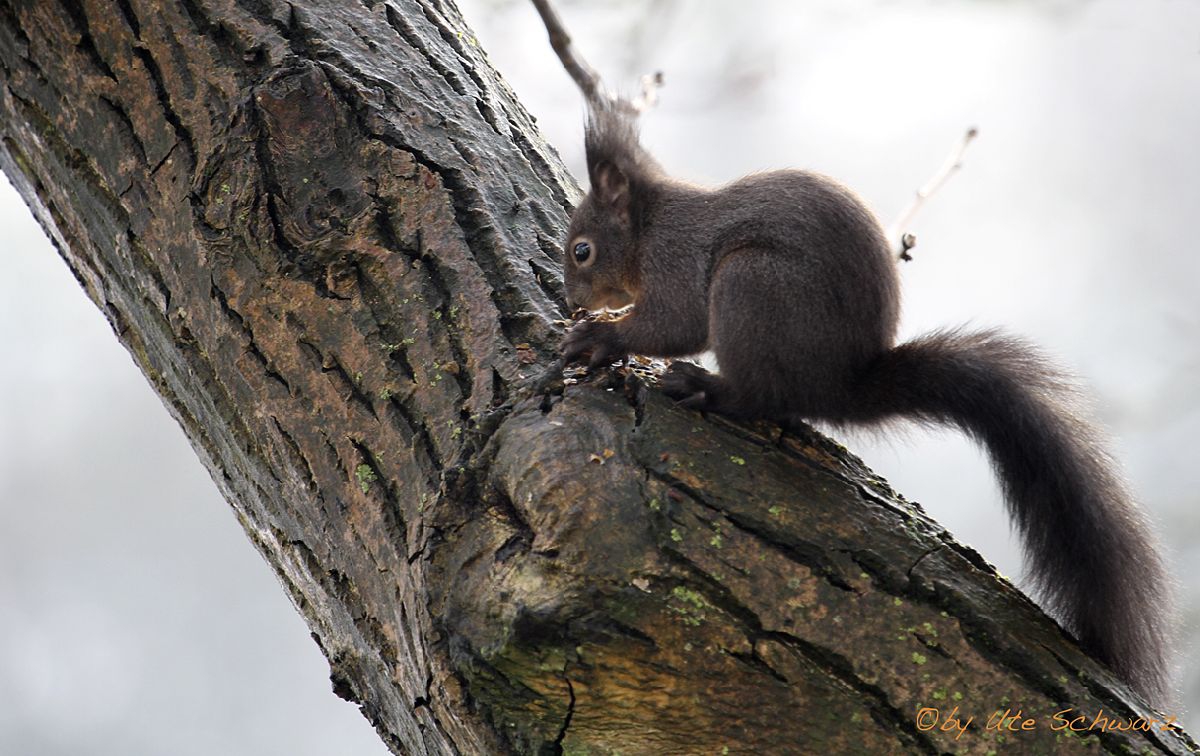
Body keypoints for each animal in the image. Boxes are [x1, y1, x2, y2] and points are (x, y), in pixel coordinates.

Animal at [559, 103, 1171, 710]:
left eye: (582, 250)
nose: (572, 300)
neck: (648, 227)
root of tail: (840, 387)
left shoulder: (678, 259)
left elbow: (676, 323)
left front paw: (602, 336)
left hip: (751, 285)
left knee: (760, 395)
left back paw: (706, 387)